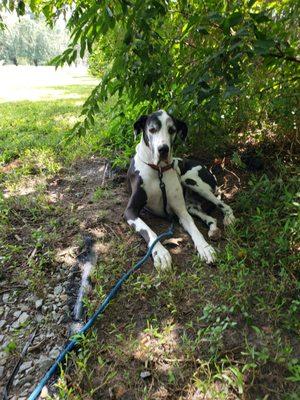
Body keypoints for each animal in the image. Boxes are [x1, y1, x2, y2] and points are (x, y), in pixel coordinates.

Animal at [124, 111, 234, 270]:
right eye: (152, 129)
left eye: (172, 130)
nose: (163, 149)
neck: (158, 171)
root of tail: (207, 168)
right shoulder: (130, 211)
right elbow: (149, 231)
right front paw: (160, 253)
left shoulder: (181, 211)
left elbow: (194, 229)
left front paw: (205, 248)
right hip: (190, 205)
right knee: (210, 217)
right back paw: (213, 230)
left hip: (192, 182)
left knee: (223, 204)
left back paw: (229, 218)